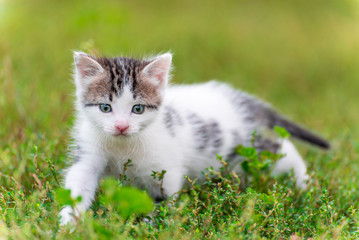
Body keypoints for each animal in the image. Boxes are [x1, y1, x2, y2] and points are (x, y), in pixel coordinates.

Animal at [59, 51, 332, 225]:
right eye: (105, 108)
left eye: (138, 109)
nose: (121, 126)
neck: (122, 146)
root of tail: (238, 99)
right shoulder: (88, 153)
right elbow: (78, 185)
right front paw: (67, 222)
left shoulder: (165, 167)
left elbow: (164, 197)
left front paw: (151, 224)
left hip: (246, 150)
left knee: (282, 148)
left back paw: (304, 185)